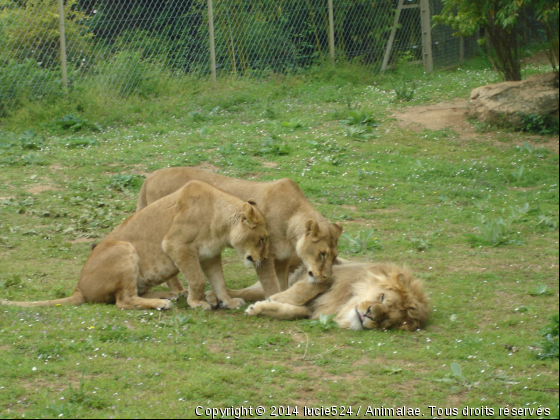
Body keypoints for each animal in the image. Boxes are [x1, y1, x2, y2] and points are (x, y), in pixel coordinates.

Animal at [1, 181, 270, 312]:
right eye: (263, 238)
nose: (265, 260)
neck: (221, 222)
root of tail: (79, 289)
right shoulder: (177, 245)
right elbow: (197, 280)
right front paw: (198, 303)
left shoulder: (210, 255)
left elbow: (218, 282)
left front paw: (227, 302)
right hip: (124, 249)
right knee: (123, 300)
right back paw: (161, 303)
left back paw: (169, 295)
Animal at [138, 166, 344, 300]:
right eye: (322, 254)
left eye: (334, 256)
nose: (326, 277)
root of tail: (150, 177)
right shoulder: (264, 258)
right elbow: (271, 285)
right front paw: (272, 301)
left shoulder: (283, 259)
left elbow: (282, 283)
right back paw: (179, 291)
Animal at [245, 260, 428, 330]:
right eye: (382, 297)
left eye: (387, 319)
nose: (369, 314)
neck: (345, 301)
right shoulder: (327, 274)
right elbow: (301, 291)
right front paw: (273, 298)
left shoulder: (312, 310)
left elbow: (289, 312)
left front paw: (259, 308)